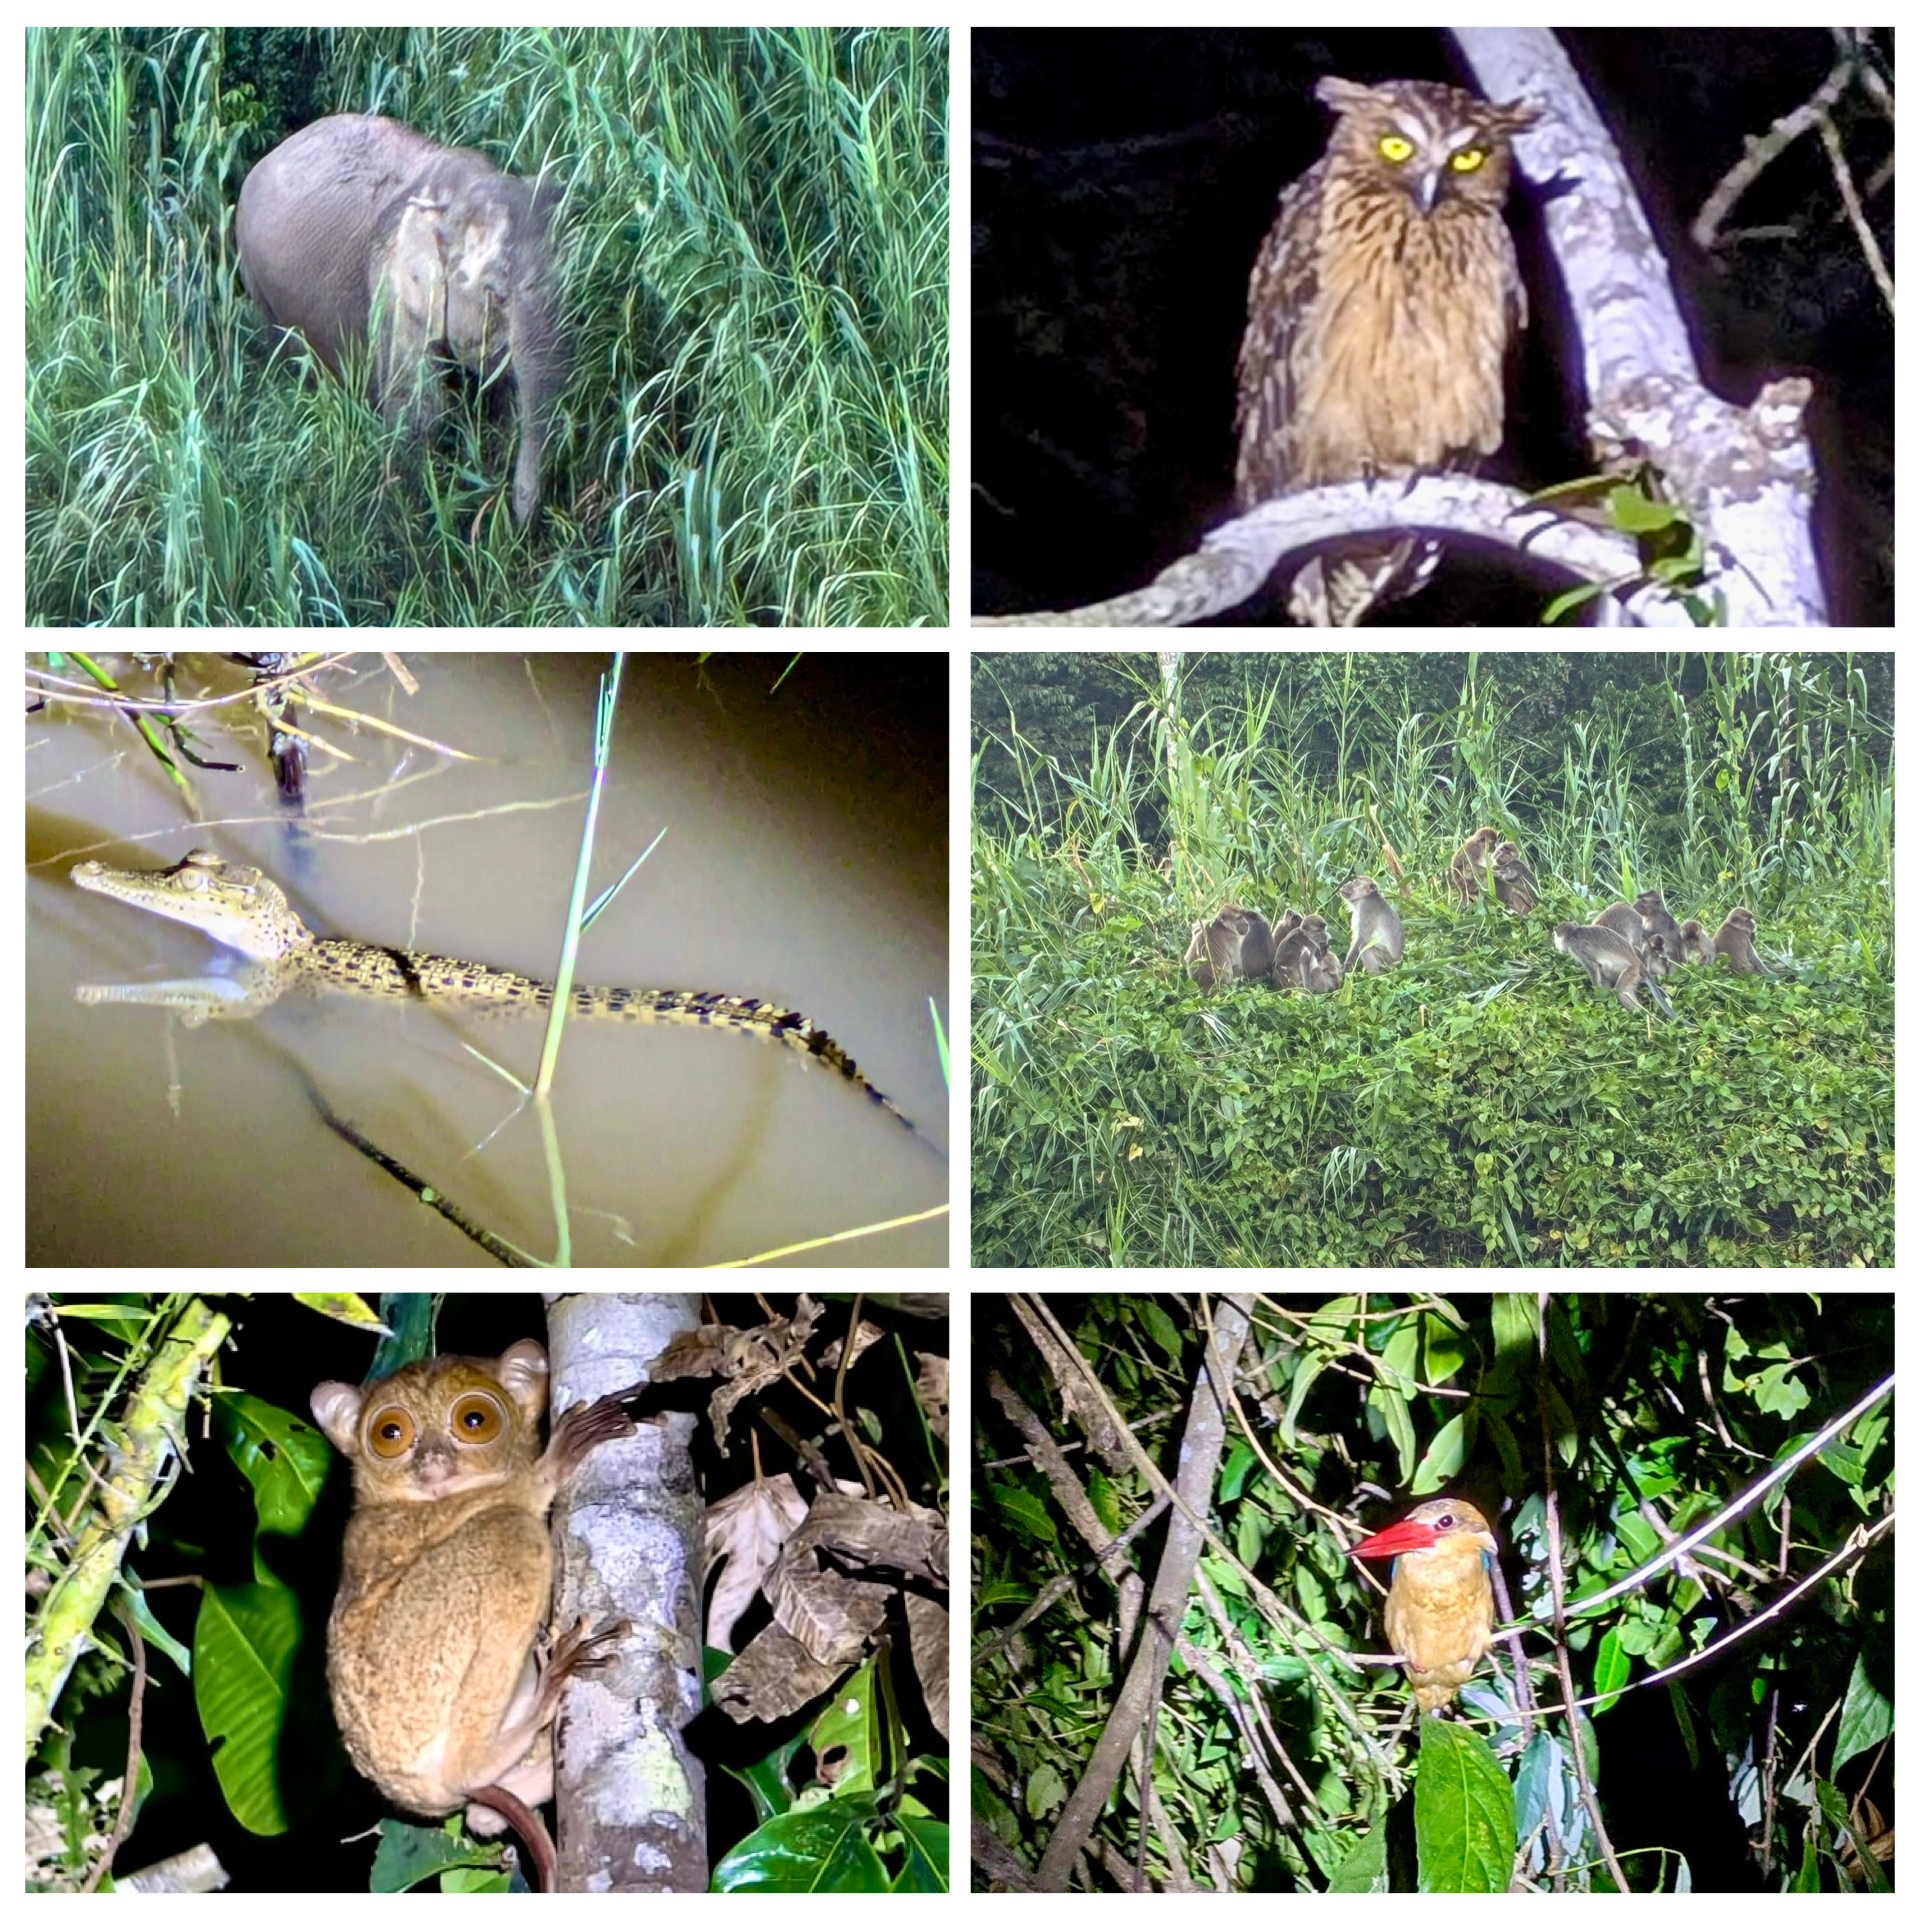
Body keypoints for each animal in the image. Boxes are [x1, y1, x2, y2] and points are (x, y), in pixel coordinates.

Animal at [235, 114, 564, 526]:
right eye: (494, 293)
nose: (522, 525)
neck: (456, 195)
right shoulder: (392, 292)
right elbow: (418, 414)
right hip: (257, 281)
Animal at [311, 1340, 646, 1893]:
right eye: (390, 1434)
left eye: (473, 1421)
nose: (431, 1460)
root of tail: (406, 1791)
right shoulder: (410, 1521)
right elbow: (513, 1497)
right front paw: (553, 1460)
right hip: (416, 1676)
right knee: (508, 1526)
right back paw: (544, 1694)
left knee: (480, 1819)